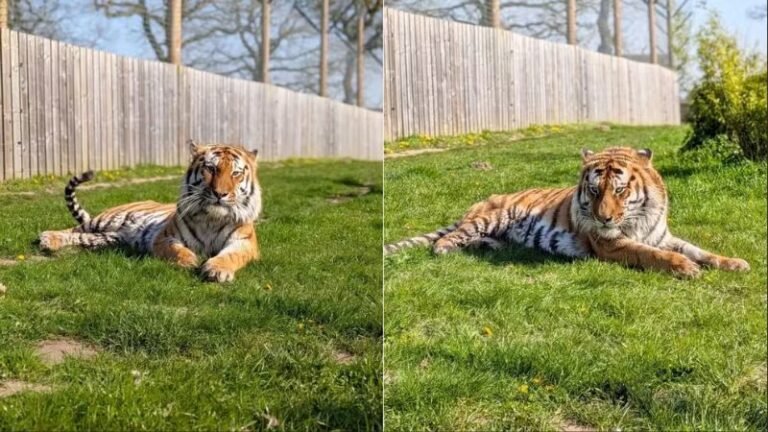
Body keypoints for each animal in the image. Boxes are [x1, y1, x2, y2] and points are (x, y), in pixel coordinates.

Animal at [38, 140, 262, 282]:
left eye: (236, 173)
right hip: (105, 220)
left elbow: (230, 256)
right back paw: (48, 238)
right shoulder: (164, 238)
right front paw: (189, 262)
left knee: (81, 237)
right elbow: (177, 250)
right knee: (73, 229)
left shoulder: (244, 243)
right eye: (211, 168)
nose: (220, 193)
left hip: (108, 238)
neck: (212, 219)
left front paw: (217, 270)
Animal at [384, 147, 750, 278]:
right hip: (490, 217)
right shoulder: (611, 244)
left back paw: (495, 247)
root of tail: (481, 201)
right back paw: (445, 249)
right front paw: (685, 268)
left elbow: (700, 250)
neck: (640, 217)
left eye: (619, 190)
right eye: (594, 190)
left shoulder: (663, 236)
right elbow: (651, 255)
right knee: (453, 237)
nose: (603, 218)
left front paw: (735, 263)